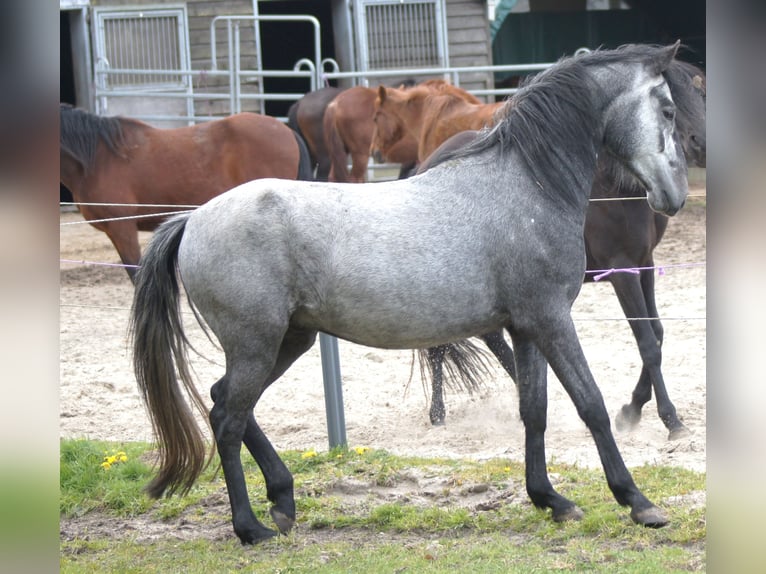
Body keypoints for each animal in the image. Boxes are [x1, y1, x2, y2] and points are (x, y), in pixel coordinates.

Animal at [132, 42, 688, 548]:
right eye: (667, 110)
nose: (675, 195)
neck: (527, 184)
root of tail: (192, 220)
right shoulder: (552, 319)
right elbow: (590, 404)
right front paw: (637, 502)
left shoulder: (526, 327)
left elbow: (535, 410)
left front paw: (550, 499)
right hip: (257, 344)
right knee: (227, 419)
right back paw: (251, 527)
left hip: (288, 341)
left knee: (224, 402)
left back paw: (283, 499)